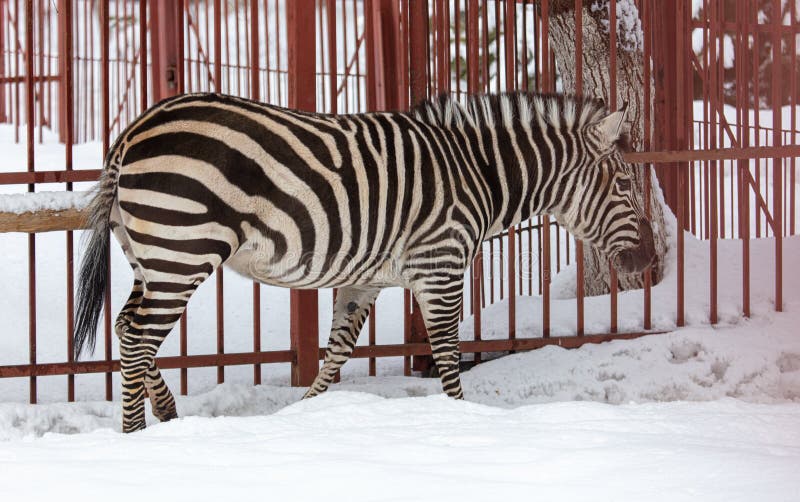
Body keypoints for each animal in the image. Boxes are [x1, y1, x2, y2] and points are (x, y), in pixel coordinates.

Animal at [74, 91, 655, 432]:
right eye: (626, 184)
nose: (651, 260)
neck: (479, 172)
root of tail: (132, 131)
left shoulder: (367, 281)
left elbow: (336, 353)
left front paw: (305, 414)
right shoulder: (441, 266)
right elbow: (448, 357)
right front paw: (460, 422)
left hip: (149, 258)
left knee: (126, 327)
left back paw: (170, 419)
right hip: (184, 249)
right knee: (138, 337)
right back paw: (137, 438)